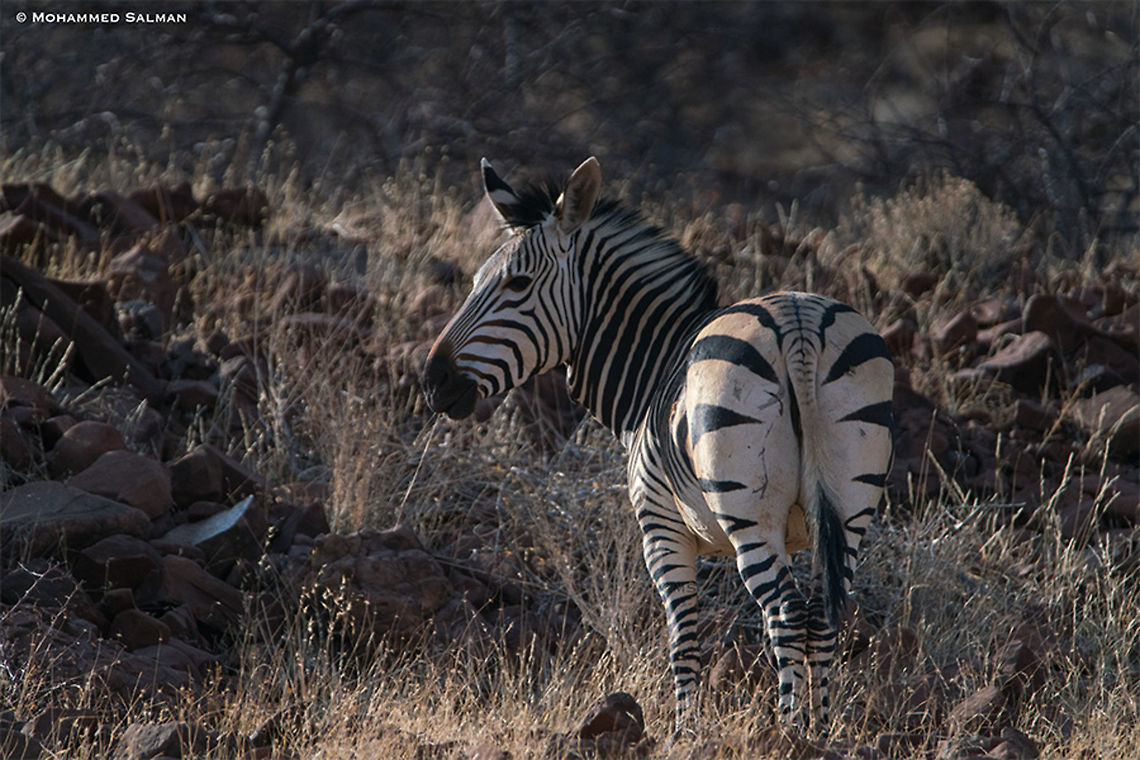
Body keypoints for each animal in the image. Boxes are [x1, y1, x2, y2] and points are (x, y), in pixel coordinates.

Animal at [422, 157, 894, 734]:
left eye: (517, 283)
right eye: (474, 283)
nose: (433, 380)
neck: (654, 364)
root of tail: (797, 323)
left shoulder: (661, 528)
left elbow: (684, 640)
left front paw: (684, 732)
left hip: (749, 511)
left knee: (784, 612)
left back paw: (789, 732)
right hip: (852, 501)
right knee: (824, 613)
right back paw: (821, 733)